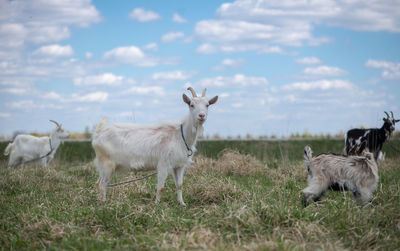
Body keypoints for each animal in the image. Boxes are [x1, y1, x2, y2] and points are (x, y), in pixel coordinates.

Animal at [91, 87, 219, 205]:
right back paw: (104, 204)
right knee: (101, 184)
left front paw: (182, 203)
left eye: (207, 105)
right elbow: (160, 187)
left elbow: (180, 185)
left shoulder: (179, 165)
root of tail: (98, 134)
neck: (180, 136)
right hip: (106, 164)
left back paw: (101, 202)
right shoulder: (163, 163)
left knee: (100, 183)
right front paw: (157, 204)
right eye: (191, 105)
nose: (201, 115)